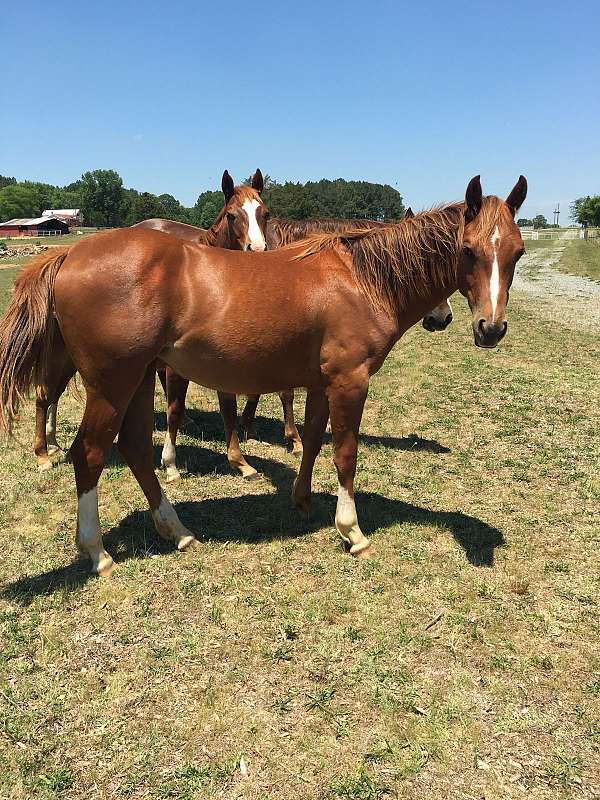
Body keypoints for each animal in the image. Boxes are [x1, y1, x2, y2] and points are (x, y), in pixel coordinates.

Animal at [30, 169, 268, 484]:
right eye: (232, 215)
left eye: (265, 214)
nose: (257, 251)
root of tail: (68, 258)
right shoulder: (175, 368)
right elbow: (175, 410)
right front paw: (170, 464)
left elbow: (227, 408)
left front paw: (241, 462)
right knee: (44, 395)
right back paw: (43, 454)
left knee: (53, 395)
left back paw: (54, 443)